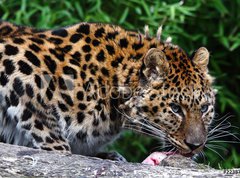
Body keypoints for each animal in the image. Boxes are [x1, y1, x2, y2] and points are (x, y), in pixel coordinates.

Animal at [0, 20, 216, 161]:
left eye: (205, 108)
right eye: (175, 108)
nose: (196, 145)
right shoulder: (16, 61)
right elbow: (40, 119)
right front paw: (59, 149)